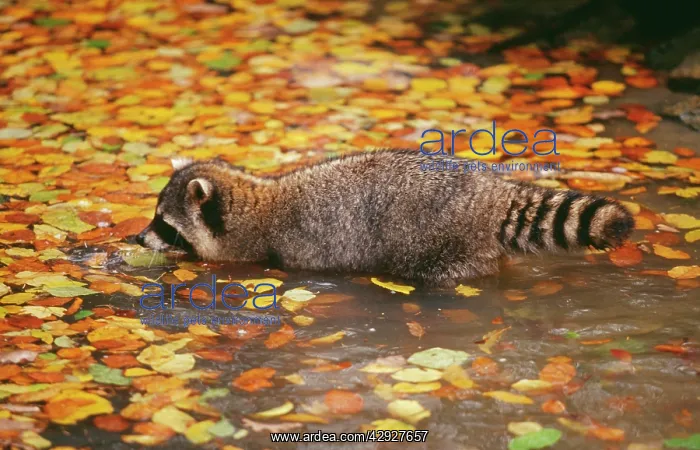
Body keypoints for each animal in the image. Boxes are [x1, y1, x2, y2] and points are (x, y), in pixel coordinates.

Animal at [136, 150, 634, 287]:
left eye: (164, 224)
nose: (137, 240)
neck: (257, 204)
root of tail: (491, 192)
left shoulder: (295, 248)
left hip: (441, 242)